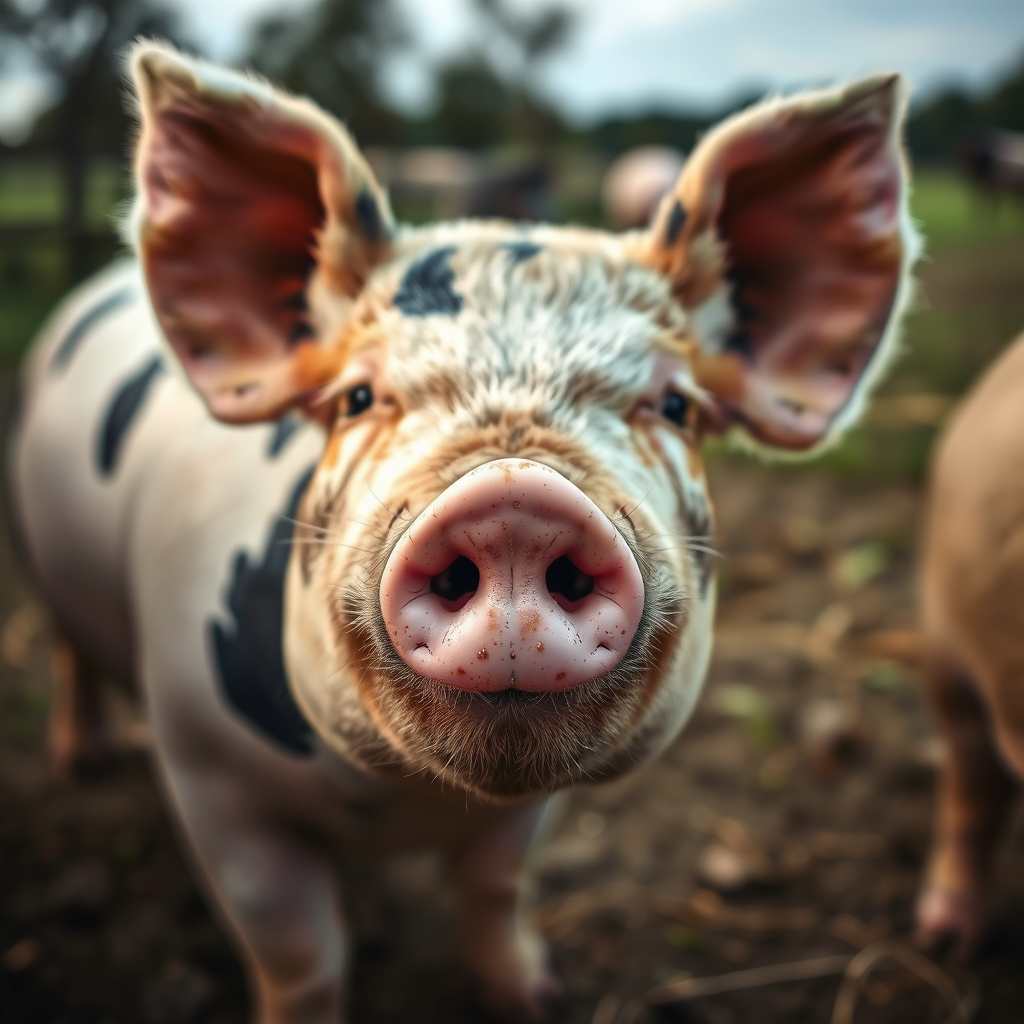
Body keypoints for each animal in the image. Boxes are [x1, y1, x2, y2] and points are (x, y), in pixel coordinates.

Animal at [8, 42, 917, 1022]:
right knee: (67, 649)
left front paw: (539, 997)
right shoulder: (209, 778)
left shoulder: (526, 815)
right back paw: (80, 762)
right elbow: (301, 953)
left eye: (675, 405)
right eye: (357, 396)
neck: (401, 804)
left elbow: (494, 893)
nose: (514, 499)